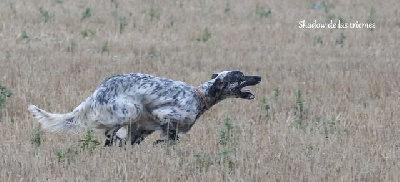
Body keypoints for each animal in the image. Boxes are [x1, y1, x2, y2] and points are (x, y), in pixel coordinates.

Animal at [29, 70, 262, 146]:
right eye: (240, 76)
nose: (258, 77)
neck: (199, 96)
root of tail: (98, 90)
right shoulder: (164, 115)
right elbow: (169, 139)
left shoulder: (146, 128)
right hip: (131, 110)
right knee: (110, 133)